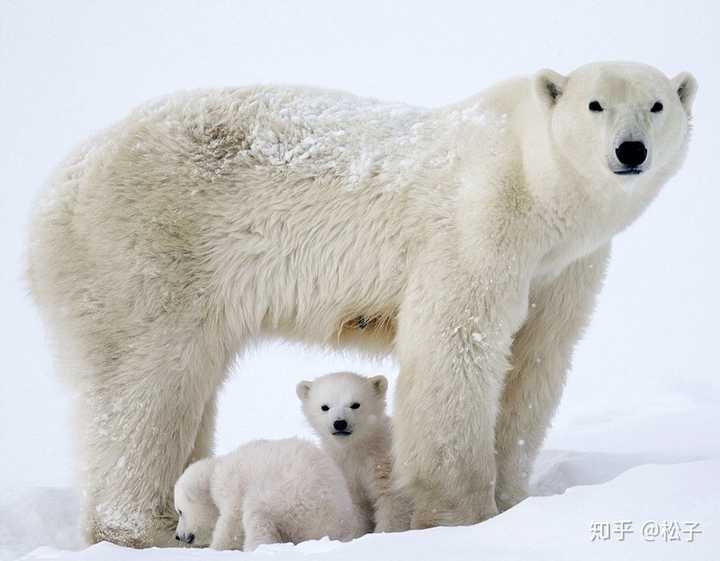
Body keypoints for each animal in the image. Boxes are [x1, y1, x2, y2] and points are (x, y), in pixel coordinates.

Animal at [172, 436, 362, 548]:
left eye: (180, 511)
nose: (178, 536)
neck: (215, 473)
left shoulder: (232, 484)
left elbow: (232, 521)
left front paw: (217, 548)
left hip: (292, 497)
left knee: (257, 513)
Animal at [296, 374, 410, 532]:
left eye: (355, 404)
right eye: (324, 407)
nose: (340, 423)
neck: (356, 448)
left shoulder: (384, 463)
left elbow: (392, 501)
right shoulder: (343, 470)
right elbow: (354, 507)